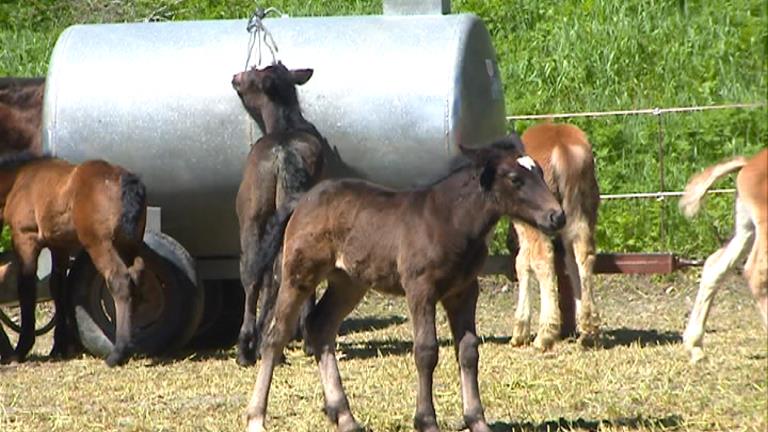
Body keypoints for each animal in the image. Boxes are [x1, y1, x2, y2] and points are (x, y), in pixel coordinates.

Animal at [0, 152, 146, 364]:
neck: (19, 180)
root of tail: (126, 180)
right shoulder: (59, 245)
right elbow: (57, 288)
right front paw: (58, 348)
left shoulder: (25, 239)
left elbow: (26, 288)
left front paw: (20, 350)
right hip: (130, 245)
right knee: (137, 274)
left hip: (100, 245)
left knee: (119, 280)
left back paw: (118, 352)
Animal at [243, 138, 568, 432]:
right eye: (515, 179)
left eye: (540, 172)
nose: (557, 216)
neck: (450, 220)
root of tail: (301, 201)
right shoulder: (420, 289)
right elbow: (426, 351)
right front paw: (426, 421)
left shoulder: (464, 291)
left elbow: (468, 351)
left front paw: (477, 420)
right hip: (299, 274)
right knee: (275, 335)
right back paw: (256, 418)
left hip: (348, 282)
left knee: (320, 326)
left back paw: (345, 417)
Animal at [508, 120, 604, 348]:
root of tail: (561, 147)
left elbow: (522, 262)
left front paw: (520, 331)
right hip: (583, 211)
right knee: (582, 257)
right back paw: (588, 328)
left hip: (541, 222)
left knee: (544, 258)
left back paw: (545, 334)